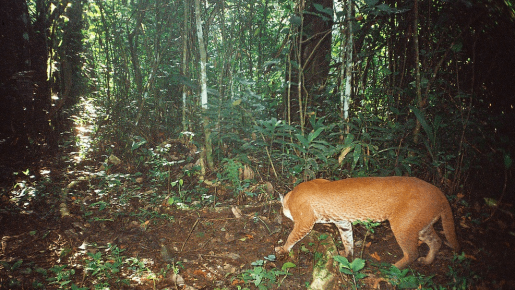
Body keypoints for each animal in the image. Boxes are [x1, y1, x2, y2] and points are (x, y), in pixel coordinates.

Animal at [276, 177, 462, 270]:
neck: (292, 196)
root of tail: (439, 192)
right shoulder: (342, 221)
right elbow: (347, 238)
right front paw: (347, 255)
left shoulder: (304, 223)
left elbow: (292, 236)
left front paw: (282, 249)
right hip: (422, 226)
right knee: (436, 241)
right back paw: (427, 261)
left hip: (403, 226)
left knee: (412, 253)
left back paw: (392, 269)